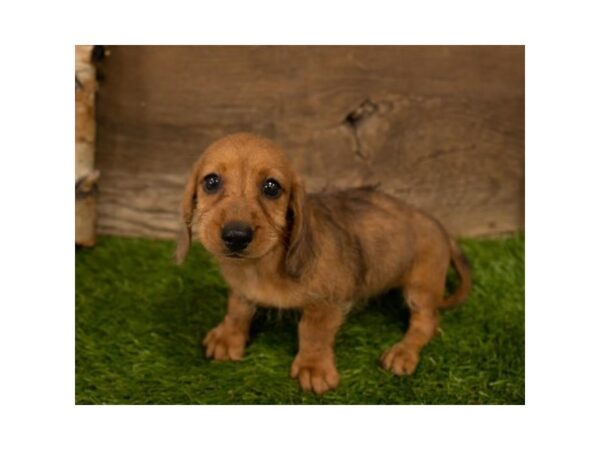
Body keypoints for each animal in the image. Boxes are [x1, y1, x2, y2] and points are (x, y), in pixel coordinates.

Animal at [176, 133, 472, 394]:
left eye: (271, 187)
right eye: (211, 182)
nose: (236, 236)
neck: (262, 267)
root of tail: (440, 227)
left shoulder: (327, 304)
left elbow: (312, 333)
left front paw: (314, 367)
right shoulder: (242, 290)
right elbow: (238, 309)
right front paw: (227, 337)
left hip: (421, 288)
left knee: (426, 323)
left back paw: (403, 351)